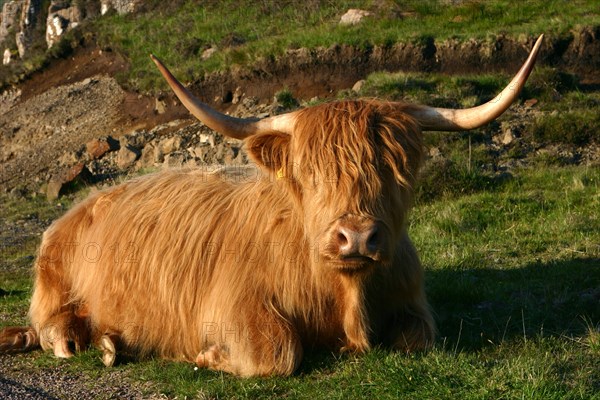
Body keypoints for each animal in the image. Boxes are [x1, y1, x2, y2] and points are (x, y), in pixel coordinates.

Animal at [0, 36, 544, 376]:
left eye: (393, 168)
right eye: (310, 172)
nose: (357, 236)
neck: (344, 295)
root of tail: (79, 206)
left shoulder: (413, 301)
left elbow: (418, 337)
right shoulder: (232, 306)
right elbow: (278, 352)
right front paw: (205, 356)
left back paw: (113, 342)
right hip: (53, 285)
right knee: (52, 330)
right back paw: (86, 341)